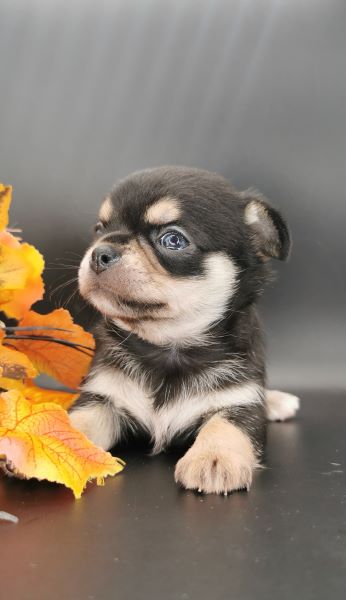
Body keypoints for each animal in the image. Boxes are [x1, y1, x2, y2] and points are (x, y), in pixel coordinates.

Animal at [69, 166, 298, 494]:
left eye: (173, 240)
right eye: (99, 230)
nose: (100, 252)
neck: (168, 346)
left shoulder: (239, 402)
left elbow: (225, 425)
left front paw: (214, 458)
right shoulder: (103, 398)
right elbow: (78, 420)